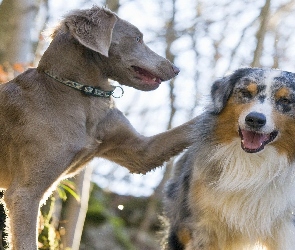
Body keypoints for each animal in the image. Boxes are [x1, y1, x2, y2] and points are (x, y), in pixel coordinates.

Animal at [0, 6, 199, 249]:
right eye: (138, 38)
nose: (176, 69)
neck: (81, 94)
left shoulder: (139, 151)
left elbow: (187, 129)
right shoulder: (24, 192)